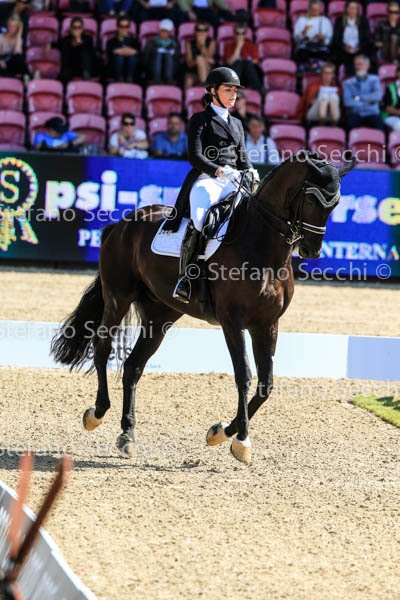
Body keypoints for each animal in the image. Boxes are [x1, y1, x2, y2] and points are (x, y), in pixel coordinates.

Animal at [51, 151, 355, 465]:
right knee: (102, 347)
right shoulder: (233, 320)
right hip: (117, 298)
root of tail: (123, 224)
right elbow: (244, 375)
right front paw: (241, 441)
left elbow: (266, 384)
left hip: (161, 314)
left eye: (335, 204)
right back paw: (96, 414)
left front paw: (221, 432)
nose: (311, 250)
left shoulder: (267, 324)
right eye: (312, 201)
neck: (262, 247)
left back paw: (127, 435)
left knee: (134, 365)